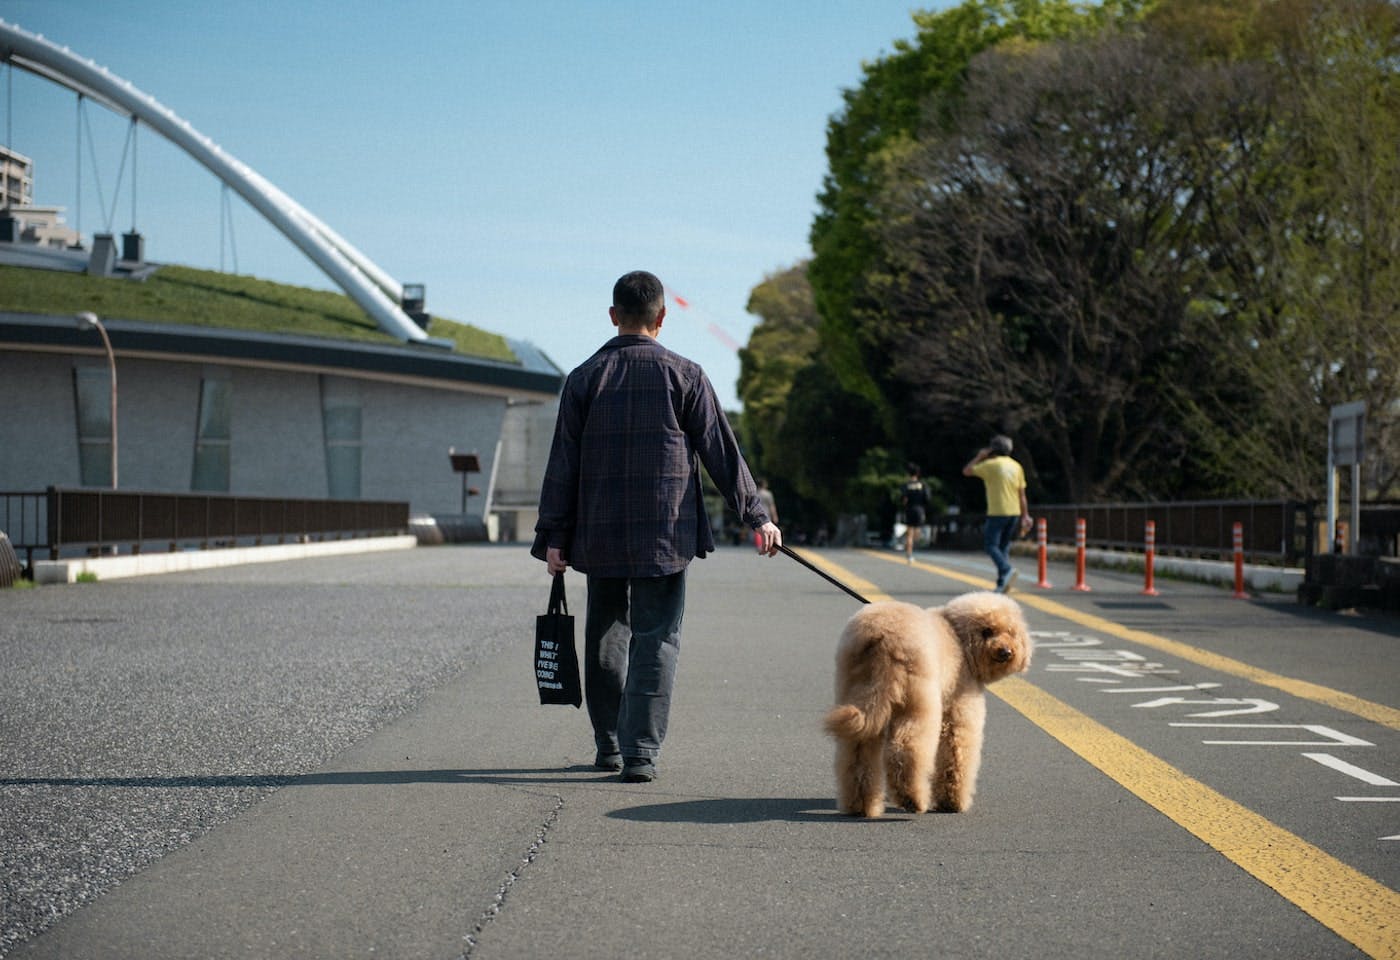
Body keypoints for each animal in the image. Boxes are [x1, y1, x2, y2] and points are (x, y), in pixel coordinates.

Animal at [817, 593, 1030, 817]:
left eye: (1011, 632)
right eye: (987, 631)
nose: (1006, 652)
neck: (959, 638)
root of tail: (879, 635)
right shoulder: (958, 712)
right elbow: (956, 757)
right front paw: (952, 802)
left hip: (857, 691)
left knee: (856, 753)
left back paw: (860, 806)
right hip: (916, 701)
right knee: (906, 749)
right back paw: (912, 800)